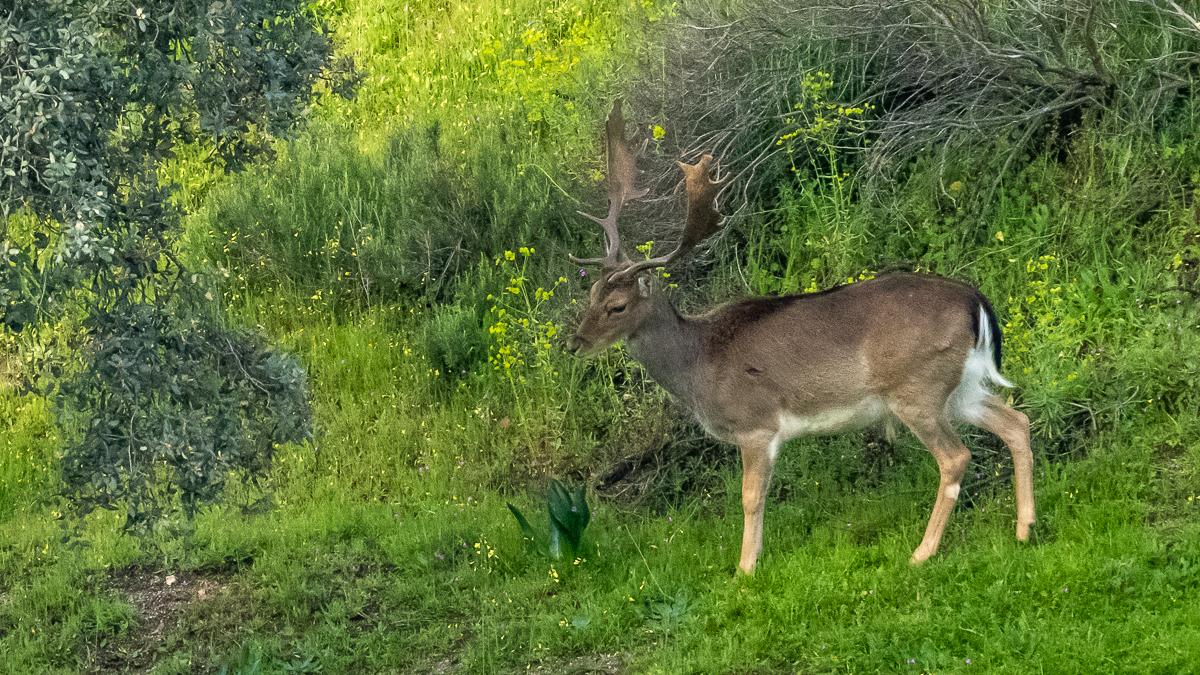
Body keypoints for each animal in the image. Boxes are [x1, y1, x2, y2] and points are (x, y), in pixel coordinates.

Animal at [565, 102, 1035, 574]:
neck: (699, 364)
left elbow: (750, 498)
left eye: (617, 306)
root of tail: (976, 302)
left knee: (956, 457)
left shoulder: (756, 424)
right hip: (959, 387)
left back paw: (922, 552)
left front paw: (745, 568)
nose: (574, 343)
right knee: (1016, 421)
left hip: (916, 386)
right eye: (591, 293)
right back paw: (1024, 529)